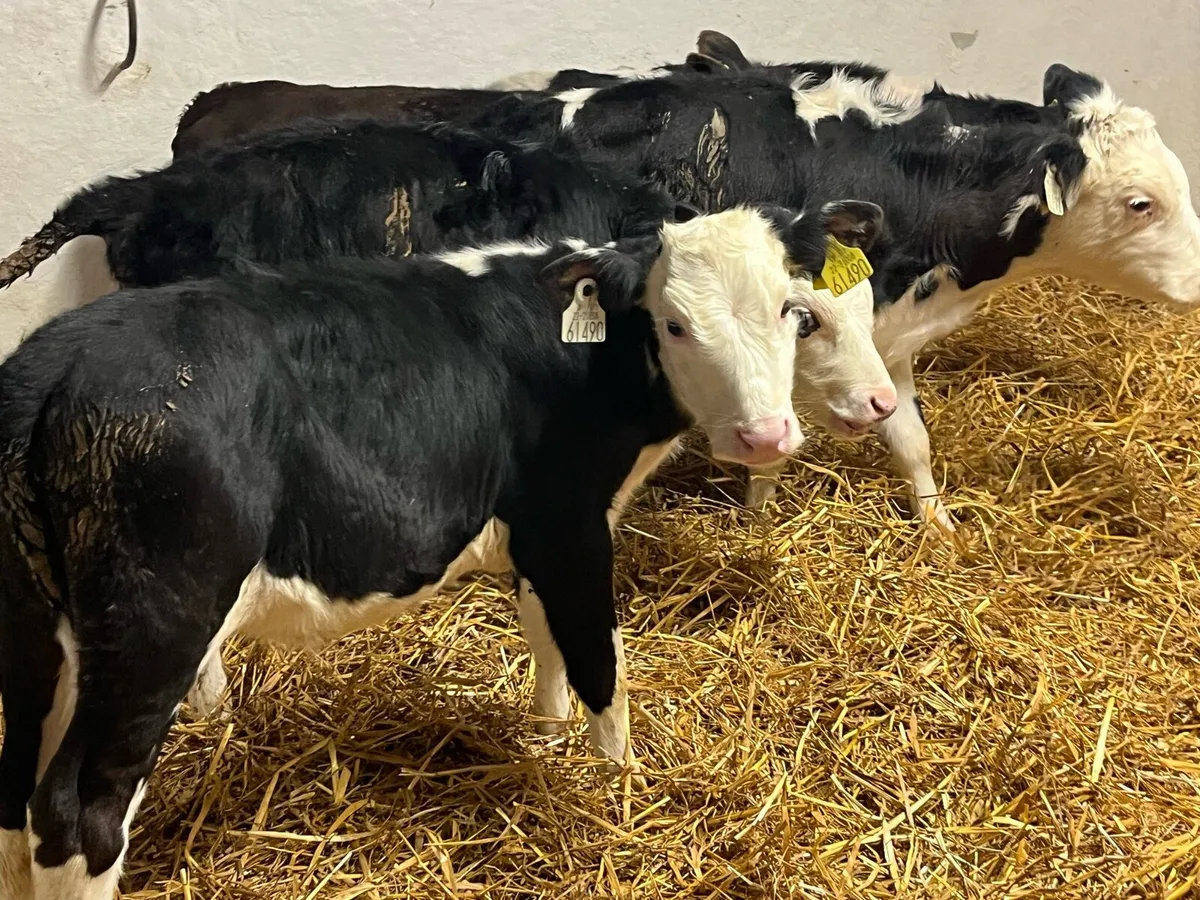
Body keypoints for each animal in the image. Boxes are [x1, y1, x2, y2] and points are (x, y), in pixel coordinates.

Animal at [0, 203, 880, 899]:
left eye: (791, 311)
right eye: (674, 323)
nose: (765, 436)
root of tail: (56, 361)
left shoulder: (532, 533)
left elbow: (544, 638)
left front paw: (546, 736)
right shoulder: (570, 524)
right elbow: (600, 662)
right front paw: (623, 787)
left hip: (40, 631)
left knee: (18, 793)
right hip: (155, 621)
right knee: (80, 815)